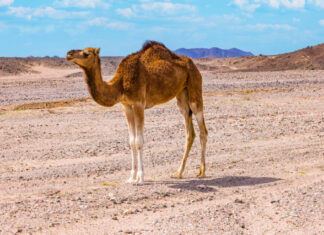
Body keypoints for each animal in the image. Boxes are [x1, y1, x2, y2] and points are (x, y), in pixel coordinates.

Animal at [66, 40, 208, 184]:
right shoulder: (127, 106)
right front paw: (131, 177)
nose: (68, 53)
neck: (120, 85)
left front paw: (140, 178)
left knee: (203, 130)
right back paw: (178, 173)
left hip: (194, 86)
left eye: (86, 53)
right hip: (181, 94)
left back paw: (202, 172)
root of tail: (192, 64)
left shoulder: (139, 104)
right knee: (189, 131)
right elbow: (131, 141)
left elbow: (139, 141)